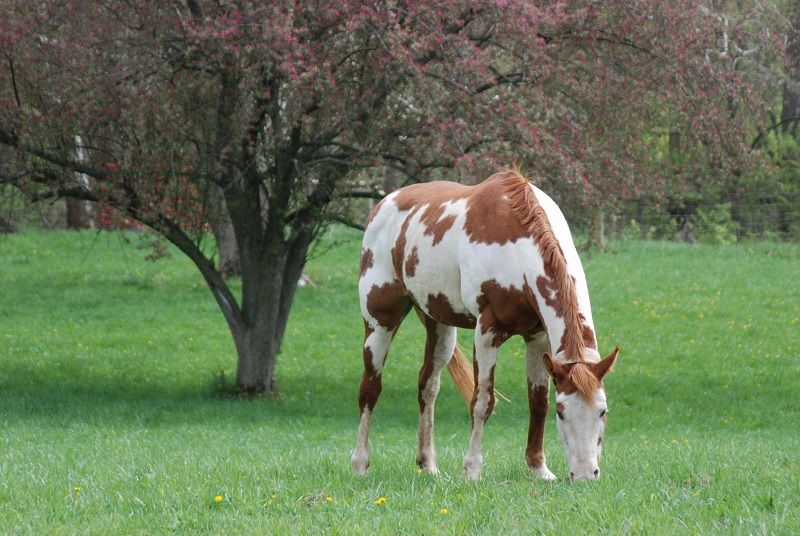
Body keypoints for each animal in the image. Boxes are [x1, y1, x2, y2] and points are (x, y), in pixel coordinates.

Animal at [351, 169, 619, 482]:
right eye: (562, 412)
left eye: (603, 411)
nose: (586, 474)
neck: (518, 244)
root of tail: (383, 205)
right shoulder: (487, 331)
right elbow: (482, 402)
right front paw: (472, 469)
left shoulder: (537, 338)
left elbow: (537, 402)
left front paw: (539, 468)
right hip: (380, 322)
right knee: (370, 389)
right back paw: (359, 463)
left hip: (438, 324)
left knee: (428, 386)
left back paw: (428, 463)